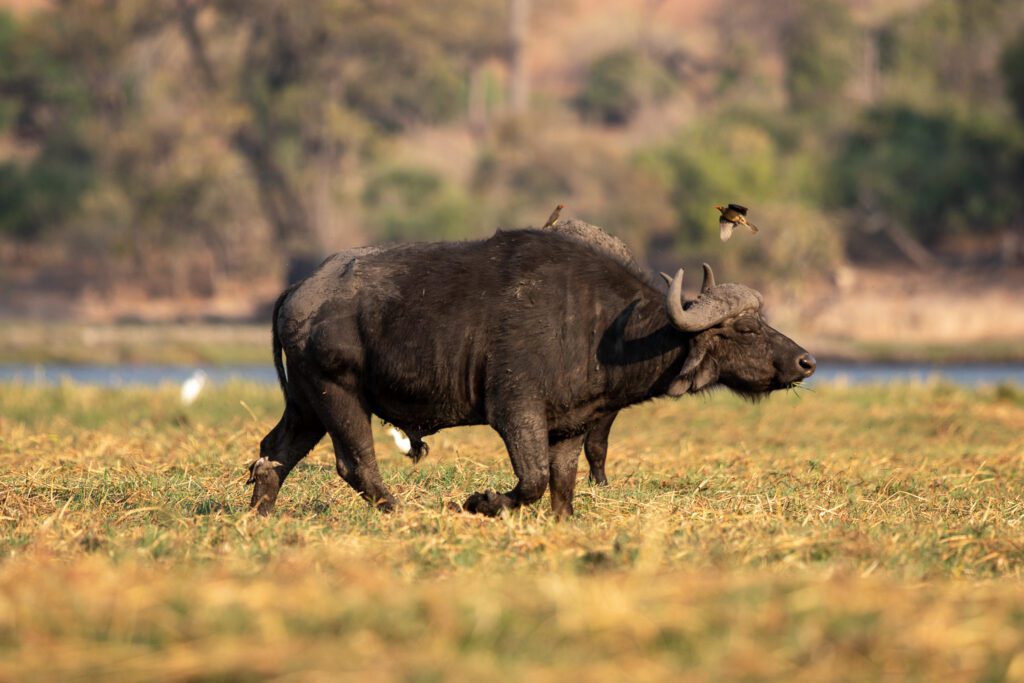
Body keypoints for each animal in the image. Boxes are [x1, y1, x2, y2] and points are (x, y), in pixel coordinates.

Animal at [247, 229, 815, 518]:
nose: (806, 362)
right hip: (338, 394)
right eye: (745, 329)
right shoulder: (516, 412)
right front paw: (482, 502)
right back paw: (398, 510)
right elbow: (534, 479)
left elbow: (561, 483)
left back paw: (260, 513)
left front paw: (564, 522)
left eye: (762, 321)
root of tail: (300, 289)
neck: (600, 326)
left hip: (306, 404)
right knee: (355, 464)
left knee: (273, 453)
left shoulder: (573, 424)